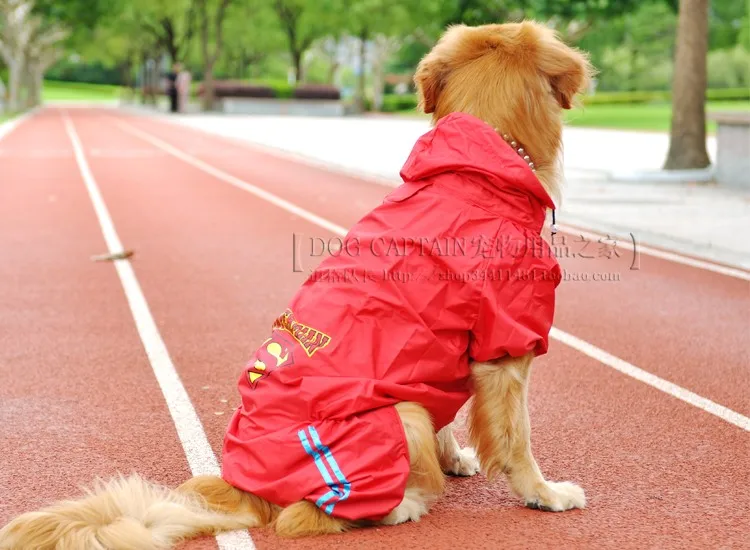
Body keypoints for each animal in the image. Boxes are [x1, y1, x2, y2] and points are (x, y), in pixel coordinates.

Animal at [1, 19, 600, 548]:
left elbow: (450, 416)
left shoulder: (458, 355)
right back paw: (402, 505)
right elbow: (516, 438)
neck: (475, 168)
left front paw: (455, 461)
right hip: (393, 418)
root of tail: (240, 485)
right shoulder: (508, 345)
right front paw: (543, 493)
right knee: (303, 516)